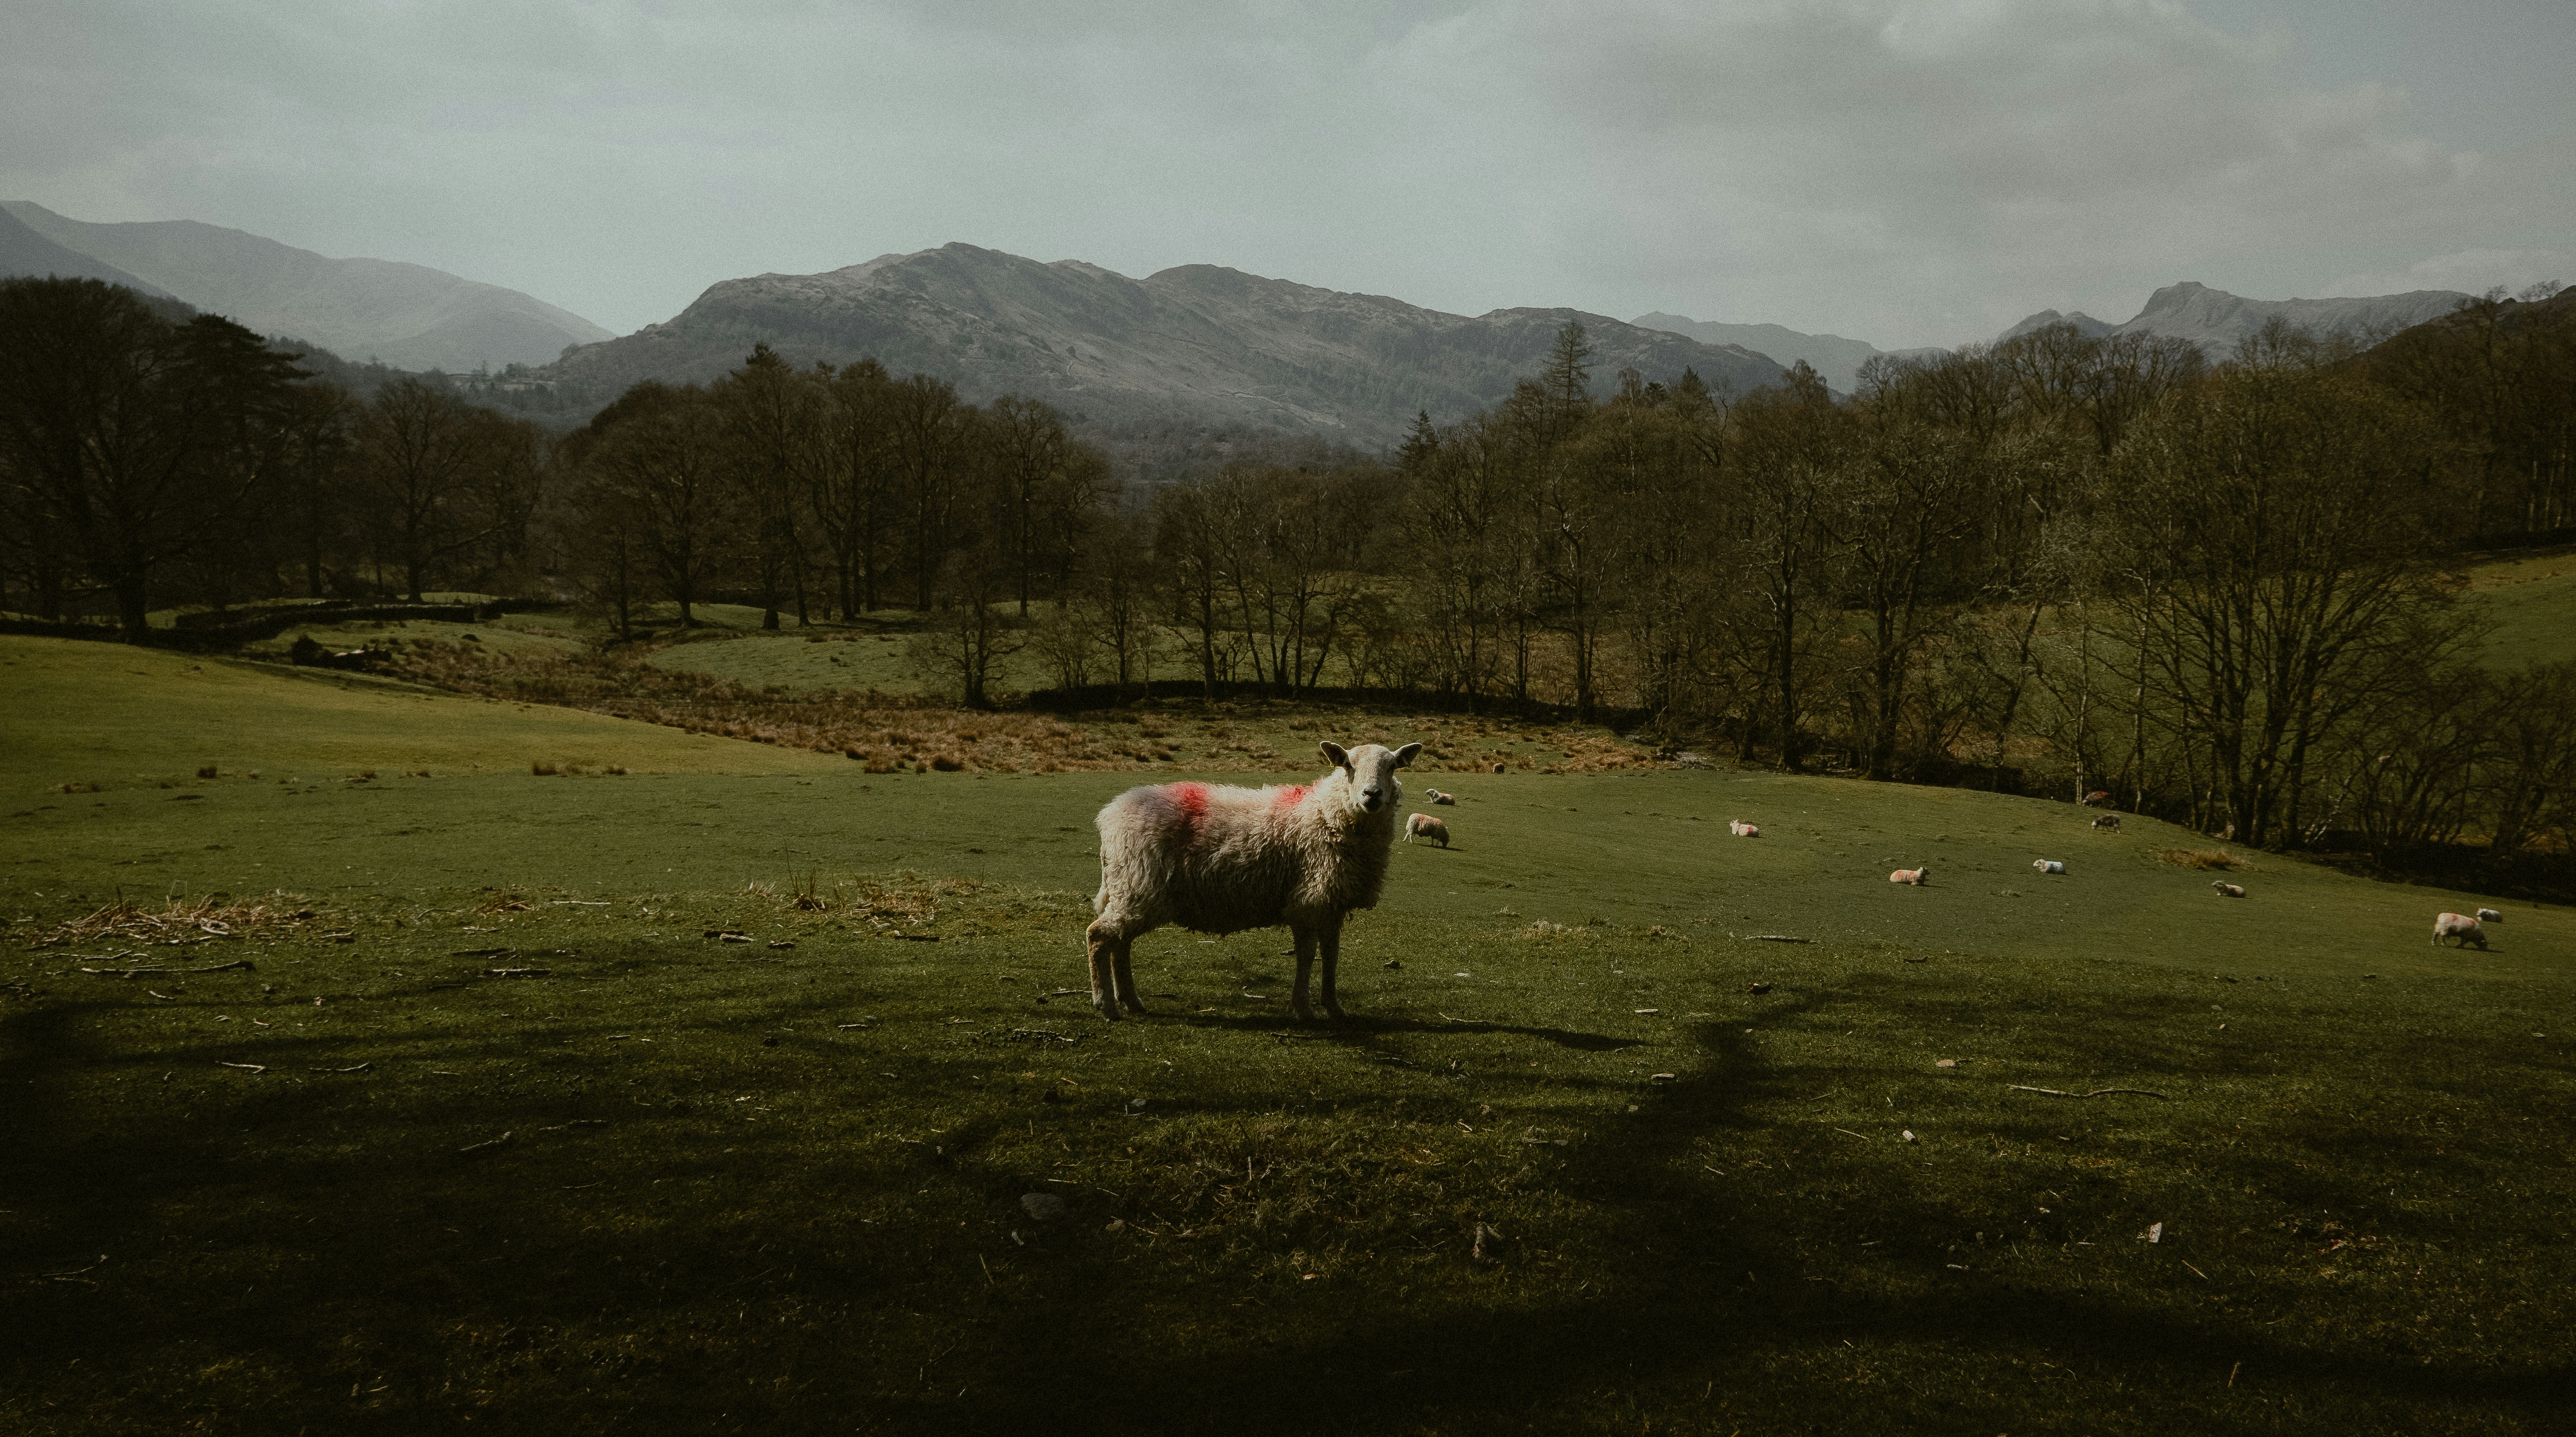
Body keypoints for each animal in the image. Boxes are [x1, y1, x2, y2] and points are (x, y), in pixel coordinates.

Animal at [1086, 740, 1422, 1024]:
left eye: (1392, 767)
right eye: (1348, 765)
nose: (1372, 795)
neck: (1324, 814)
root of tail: (1110, 816)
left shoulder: (1332, 905)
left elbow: (1331, 957)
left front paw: (1335, 1008)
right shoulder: (1307, 900)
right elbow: (1307, 956)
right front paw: (1304, 1008)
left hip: (1130, 889)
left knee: (1120, 943)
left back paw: (1131, 1001)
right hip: (1140, 885)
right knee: (1098, 937)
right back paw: (1107, 1004)